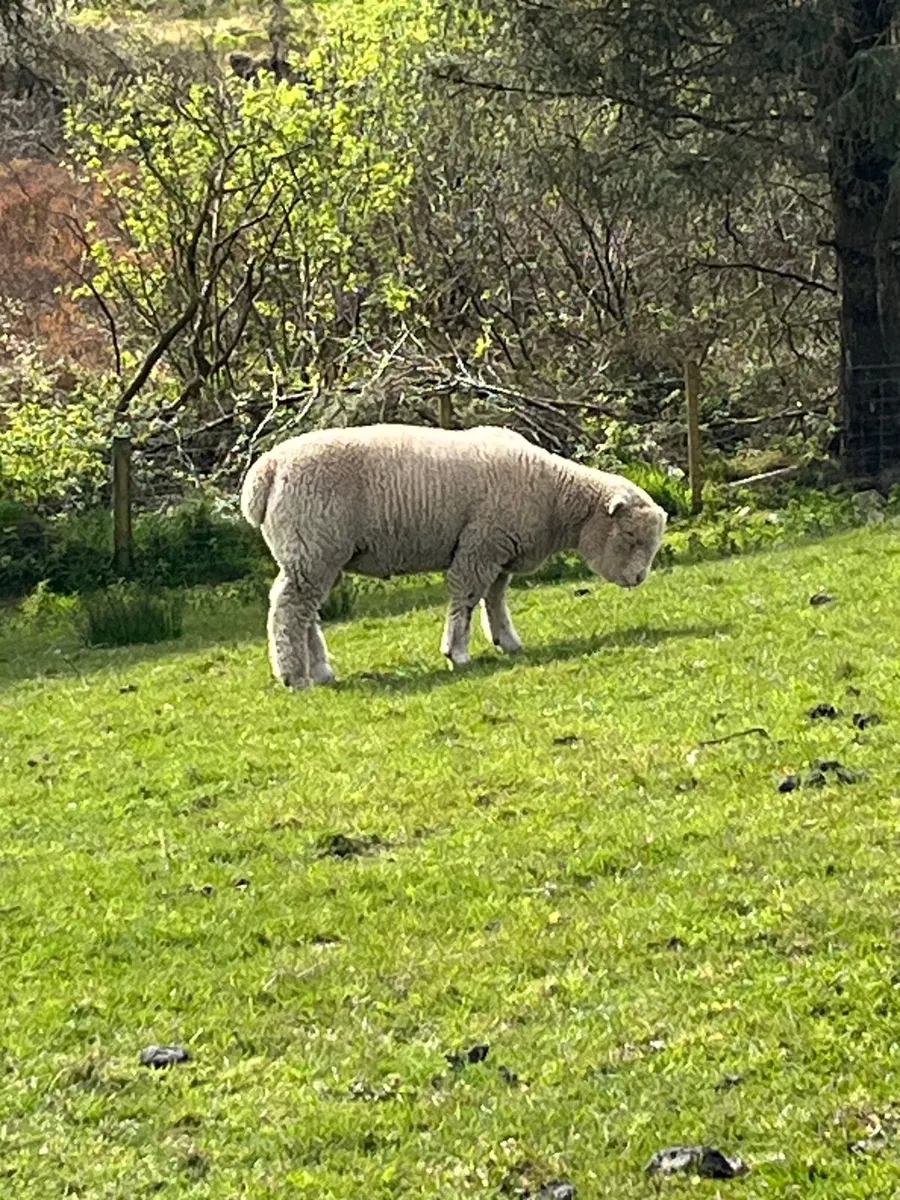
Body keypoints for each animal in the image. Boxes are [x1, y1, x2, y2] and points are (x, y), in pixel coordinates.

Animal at [240, 424, 667, 688]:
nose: (638, 579)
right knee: (288, 610)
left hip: (319, 555)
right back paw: (294, 677)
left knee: (305, 612)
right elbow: (466, 596)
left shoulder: (499, 549)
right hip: (312, 547)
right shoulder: (480, 546)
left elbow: (495, 598)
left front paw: (507, 642)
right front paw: (457, 653)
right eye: (630, 535)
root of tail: (266, 472)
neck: (553, 496)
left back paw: (321, 671)